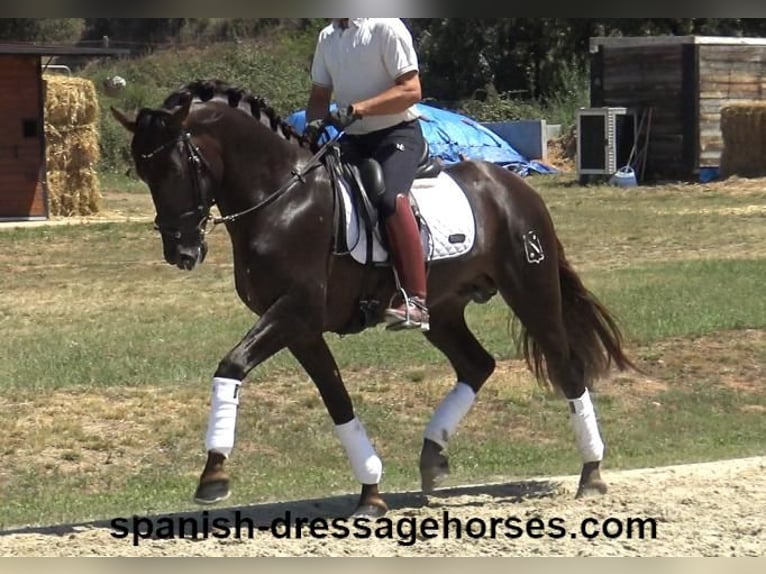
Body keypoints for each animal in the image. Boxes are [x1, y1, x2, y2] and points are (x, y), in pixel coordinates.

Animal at [109, 80, 636, 516]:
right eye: (145, 173)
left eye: (180, 166)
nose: (181, 251)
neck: (282, 200)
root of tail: (514, 187)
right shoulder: (300, 328)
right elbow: (338, 401)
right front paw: (371, 491)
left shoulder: (293, 311)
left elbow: (232, 365)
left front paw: (214, 475)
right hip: (444, 309)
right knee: (476, 365)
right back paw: (432, 457)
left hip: (530, 287)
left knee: (566, 367)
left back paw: (592, 474)